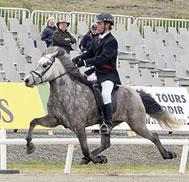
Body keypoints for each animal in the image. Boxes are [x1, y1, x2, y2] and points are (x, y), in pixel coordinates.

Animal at [24, 46, 179, 164]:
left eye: (45, 65)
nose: (27, 80)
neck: (65, 92)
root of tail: (135, 92)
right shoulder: (54, 120)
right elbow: (33, 122)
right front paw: (29, 146)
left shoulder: (79, 126)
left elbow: (85, 149)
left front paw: (96, 159)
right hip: (110, 123)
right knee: (106, 143)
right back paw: (91, 158)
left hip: (136, 123)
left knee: (154, 136)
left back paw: (168, 154)